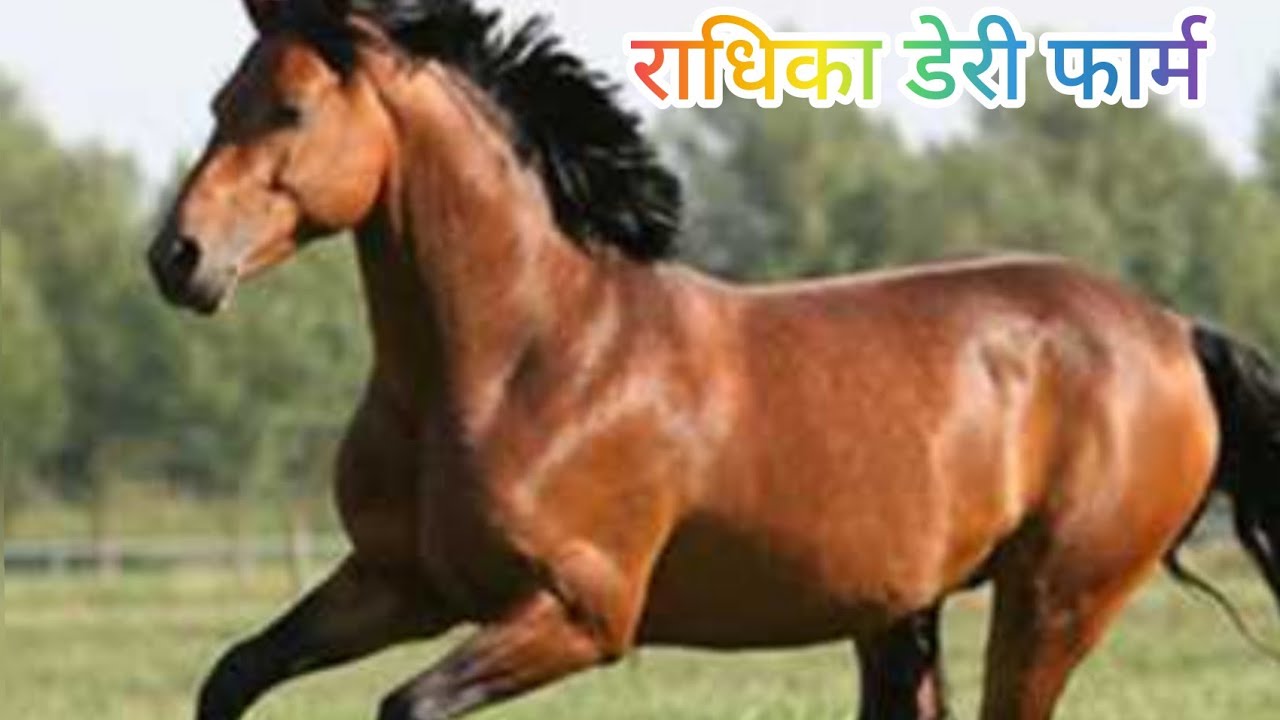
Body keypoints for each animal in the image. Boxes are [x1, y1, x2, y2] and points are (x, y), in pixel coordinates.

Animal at [147, 1, 1280, 718]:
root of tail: (1173, 329)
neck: (522, 356)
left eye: (289, 110)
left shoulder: (579, 615)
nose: (178, 258)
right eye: (216, 103)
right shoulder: (396, 583)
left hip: (1056, 599)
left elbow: (406, 706)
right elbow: (231, 676)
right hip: (897, 615)